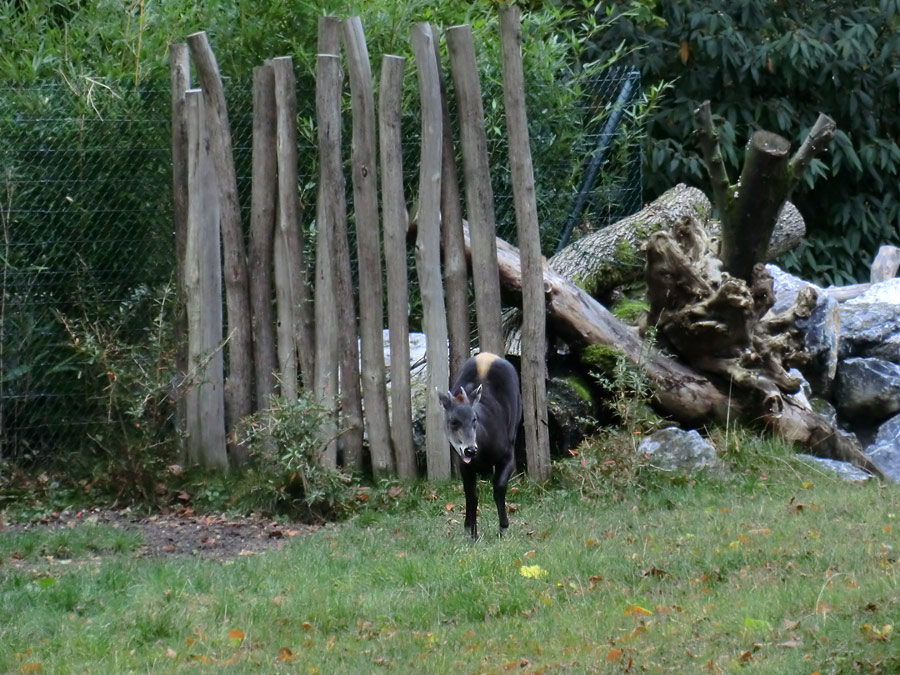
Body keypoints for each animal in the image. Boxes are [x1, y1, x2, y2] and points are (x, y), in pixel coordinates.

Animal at [438, 354, 520, 540]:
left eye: (474, 419)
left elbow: (499, 487)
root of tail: (488, 355)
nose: (470, 449)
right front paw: (472, 533)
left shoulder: (508, 455)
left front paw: (503, 528)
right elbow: (471, 495)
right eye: (453, 421)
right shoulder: (463, 464)